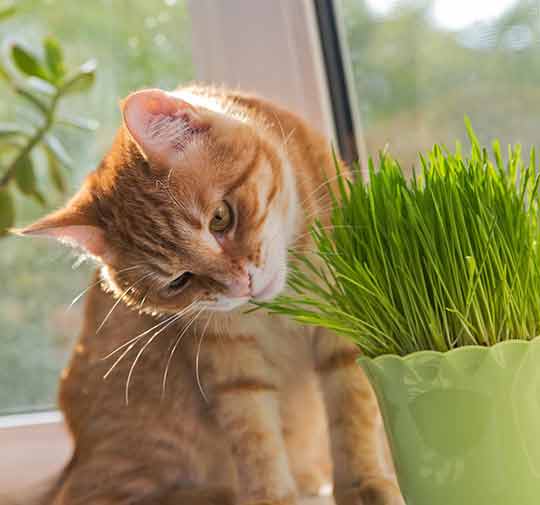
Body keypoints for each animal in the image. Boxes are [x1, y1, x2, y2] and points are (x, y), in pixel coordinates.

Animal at [19, 86, 402, 504]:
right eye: (178, 282)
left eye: (221, 218)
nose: (241, 285)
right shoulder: (230, 363)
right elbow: (255, 439)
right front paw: (272, 497)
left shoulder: (345, 324)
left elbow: (353, 412)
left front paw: (364, 483)